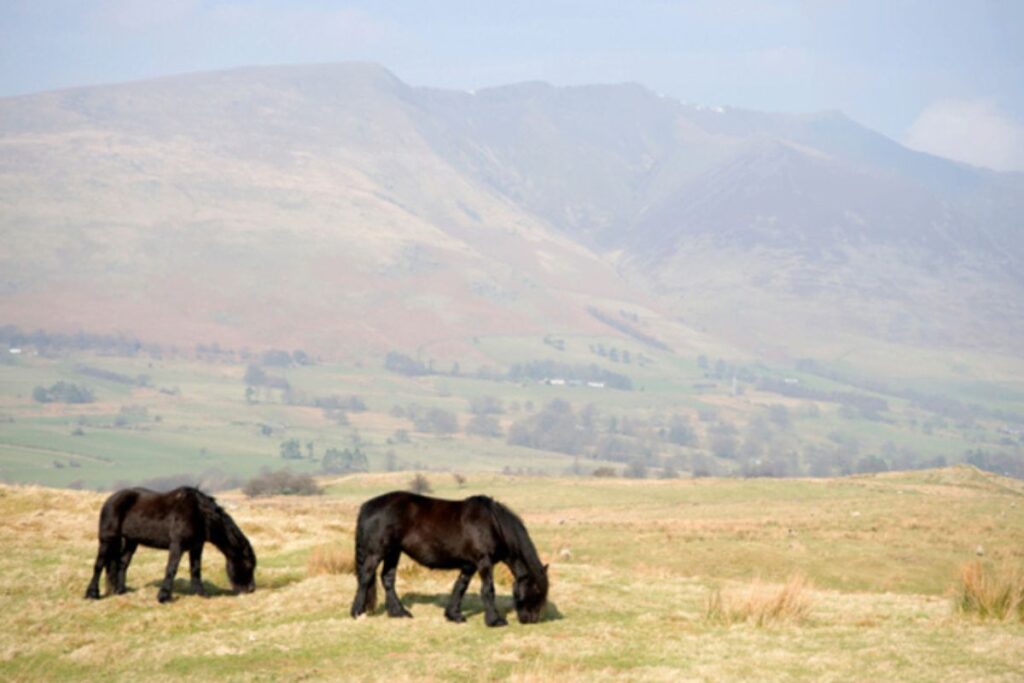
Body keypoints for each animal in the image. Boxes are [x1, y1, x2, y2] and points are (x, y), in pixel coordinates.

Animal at [84, 486, 257, 603]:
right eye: (248, 565)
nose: (250, 589)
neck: (200, 514)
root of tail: (110, 500)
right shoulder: (177, 545)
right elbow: (171, 568)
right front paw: (164, 596)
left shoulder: (196, 546)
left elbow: (196, 569)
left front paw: (200, 593)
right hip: (107, 539)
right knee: (99, 565)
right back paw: (92, 594)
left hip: (131, 541)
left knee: (122, 564)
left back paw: (120, 591)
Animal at [350, 491, 548, 626]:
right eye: (537, 590)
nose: (532, 620)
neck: (493, 524)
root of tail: (367, 506)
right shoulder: (483, 562)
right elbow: (488, 589)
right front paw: (495, 620)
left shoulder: (469, 565)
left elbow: (460, 587)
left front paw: (454, 615)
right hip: (376, 553)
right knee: (366, 578)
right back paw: (357, 612)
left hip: (393, 552)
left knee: (388, 579)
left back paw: (399, 612)